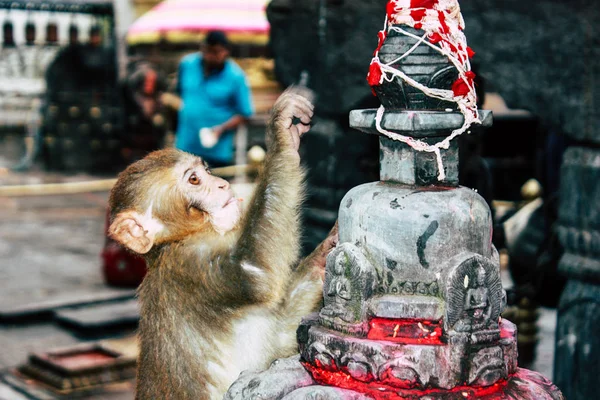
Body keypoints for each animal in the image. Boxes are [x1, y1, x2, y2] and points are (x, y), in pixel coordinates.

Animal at [108, 88, 338, 400]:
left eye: (205, 170)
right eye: (194, 179)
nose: (221, 184)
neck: (177, 240)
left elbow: (280, 339)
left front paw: (327, 252)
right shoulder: (192, 265)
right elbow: (255, 273)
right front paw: (281, 135)